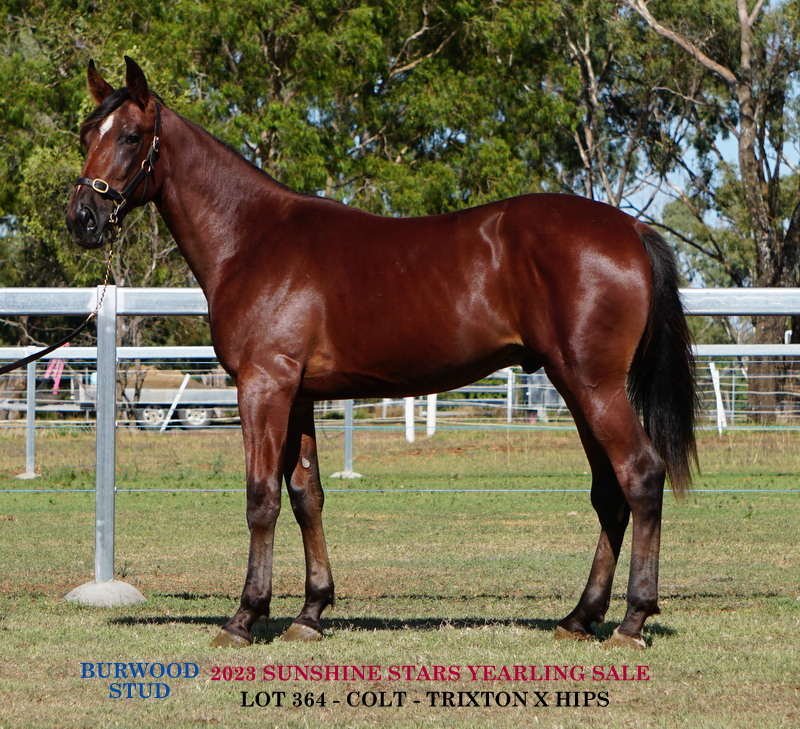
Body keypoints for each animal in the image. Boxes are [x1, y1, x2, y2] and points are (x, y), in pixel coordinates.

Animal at [66, 57, 696, 650]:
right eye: (85, 133)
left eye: (130, 136)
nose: (81, 220)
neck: (253, 239)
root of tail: (632, 230)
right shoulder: (298, 396)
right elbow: (307, 496)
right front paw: (311, 613)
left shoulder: (263, 386)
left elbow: (261, 497)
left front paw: (245, 617)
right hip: (575, 386)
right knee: (609, 493)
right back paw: (580, 617)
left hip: (594, 386)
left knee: (641, 475)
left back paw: (633, 619)